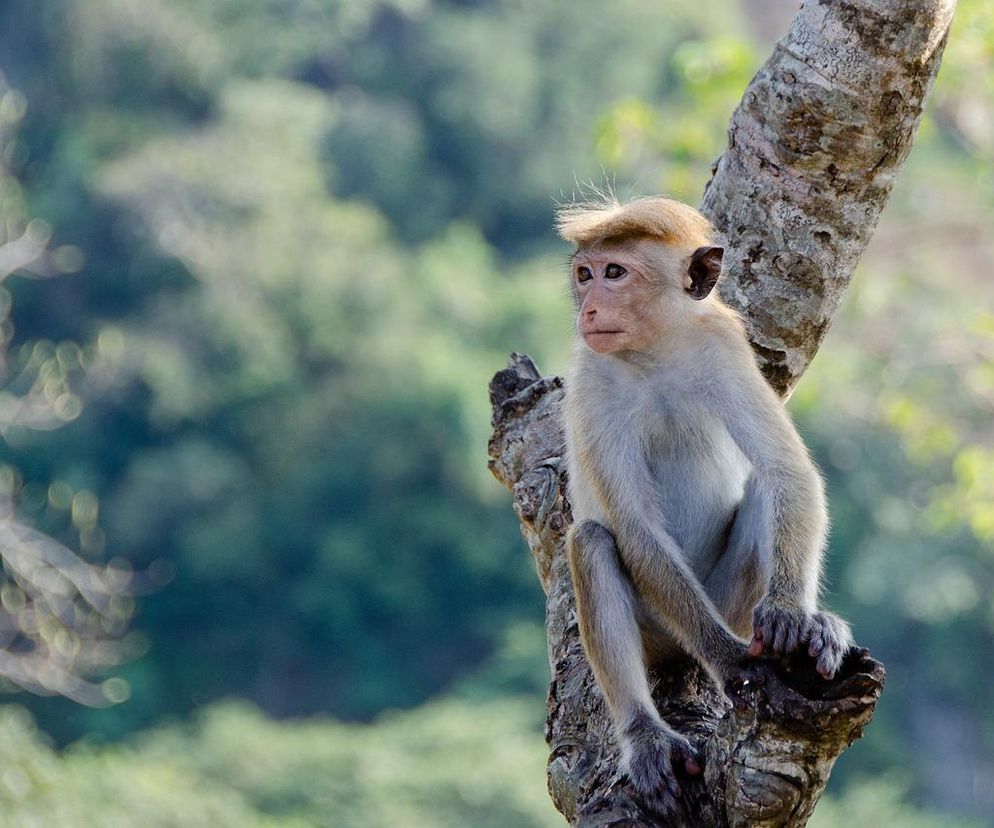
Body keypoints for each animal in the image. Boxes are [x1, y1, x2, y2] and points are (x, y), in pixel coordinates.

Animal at [560, 192, 852, 816]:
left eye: (614, 273)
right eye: (584, 275)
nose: (590, 309)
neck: (654, 354)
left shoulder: (723, 347)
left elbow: (785, 470)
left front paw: (793, 615)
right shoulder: (592, 381)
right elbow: (636, 529)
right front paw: (731, 661)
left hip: (728, 599)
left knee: (765, 487)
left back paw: (810, 623)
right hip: (660, 628)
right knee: (592, 541)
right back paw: (646, 735)